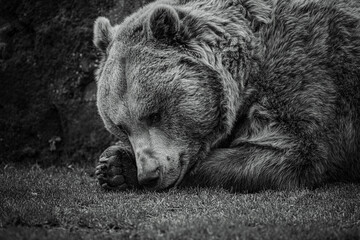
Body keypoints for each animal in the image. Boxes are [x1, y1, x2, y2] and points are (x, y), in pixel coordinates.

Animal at [92, 0, 360, 192]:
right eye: (120, 126)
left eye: (154, 114)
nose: (149, 175)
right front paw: (114, 165)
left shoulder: (301, 77)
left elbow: (291, 151)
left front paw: (120, 166)